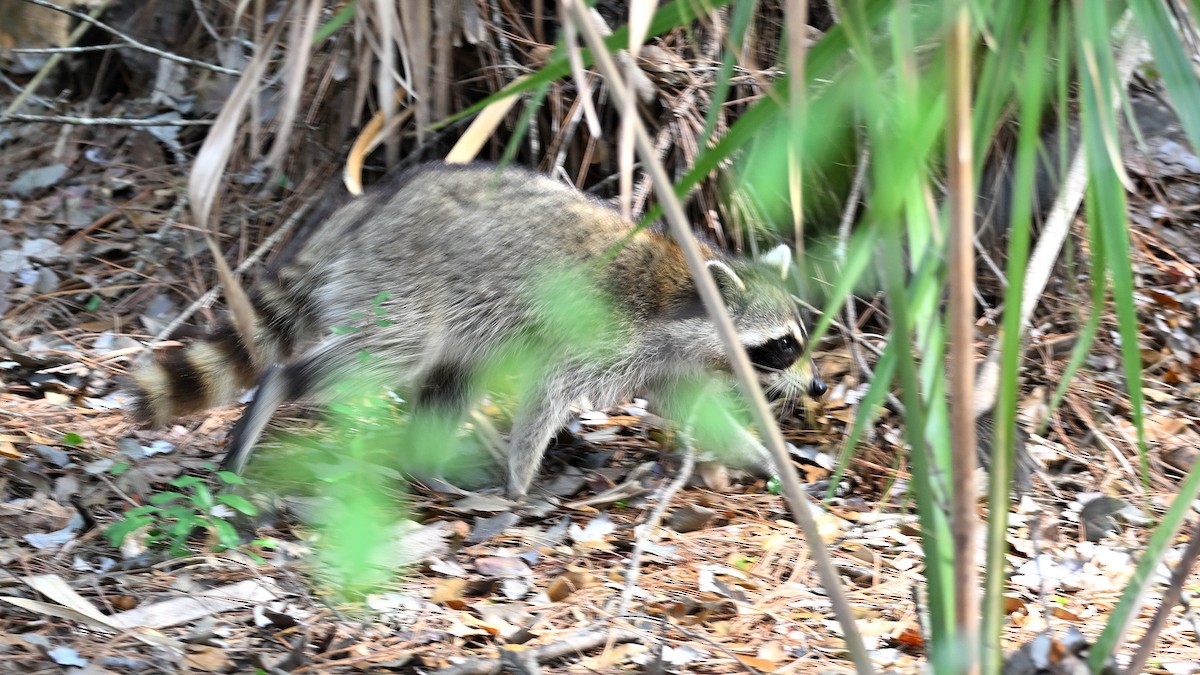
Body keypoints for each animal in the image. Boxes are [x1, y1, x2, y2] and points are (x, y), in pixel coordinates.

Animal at [128, 163, 826, 500]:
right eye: (783, 346)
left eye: (800, 338)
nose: (819, 387)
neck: (683, 291)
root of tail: (370, 204)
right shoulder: (602, 333)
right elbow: (550, 390)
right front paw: (521, 482)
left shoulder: (664, 360)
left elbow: (694, 408)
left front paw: (770, 459)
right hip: (403, 281)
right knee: (391, 353)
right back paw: (279, 387)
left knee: (450, 378)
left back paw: (426, 463)